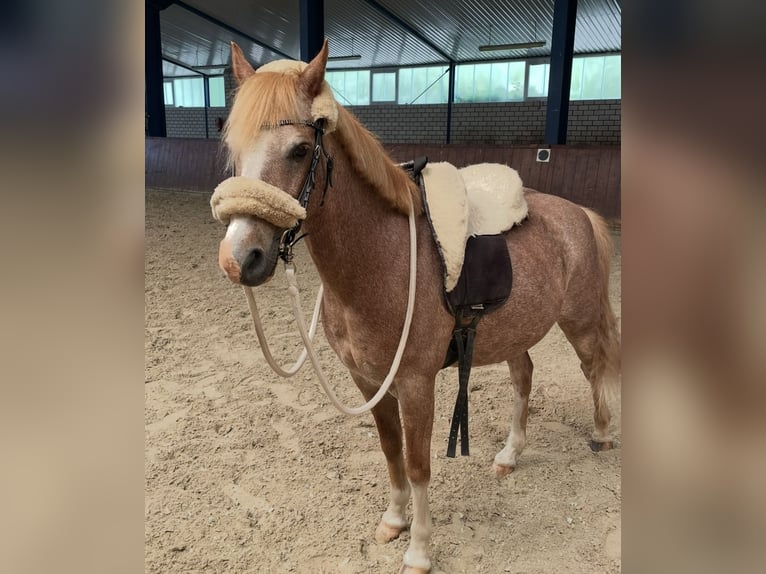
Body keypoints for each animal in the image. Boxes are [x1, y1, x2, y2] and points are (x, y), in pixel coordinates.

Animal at [214, 40, 620, 574]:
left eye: (300, 149)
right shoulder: (368, 381)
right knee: (524, 378)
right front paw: (393, 521)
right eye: (234, 153)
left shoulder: (414, 384)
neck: (381, 259)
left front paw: (420, 549)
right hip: (517, 330)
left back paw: (603, 434)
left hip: (579, 322)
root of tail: (577, 211)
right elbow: (391, 452)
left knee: (595, 367)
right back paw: (510, 455)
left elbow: (418, 462)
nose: (240, 259)